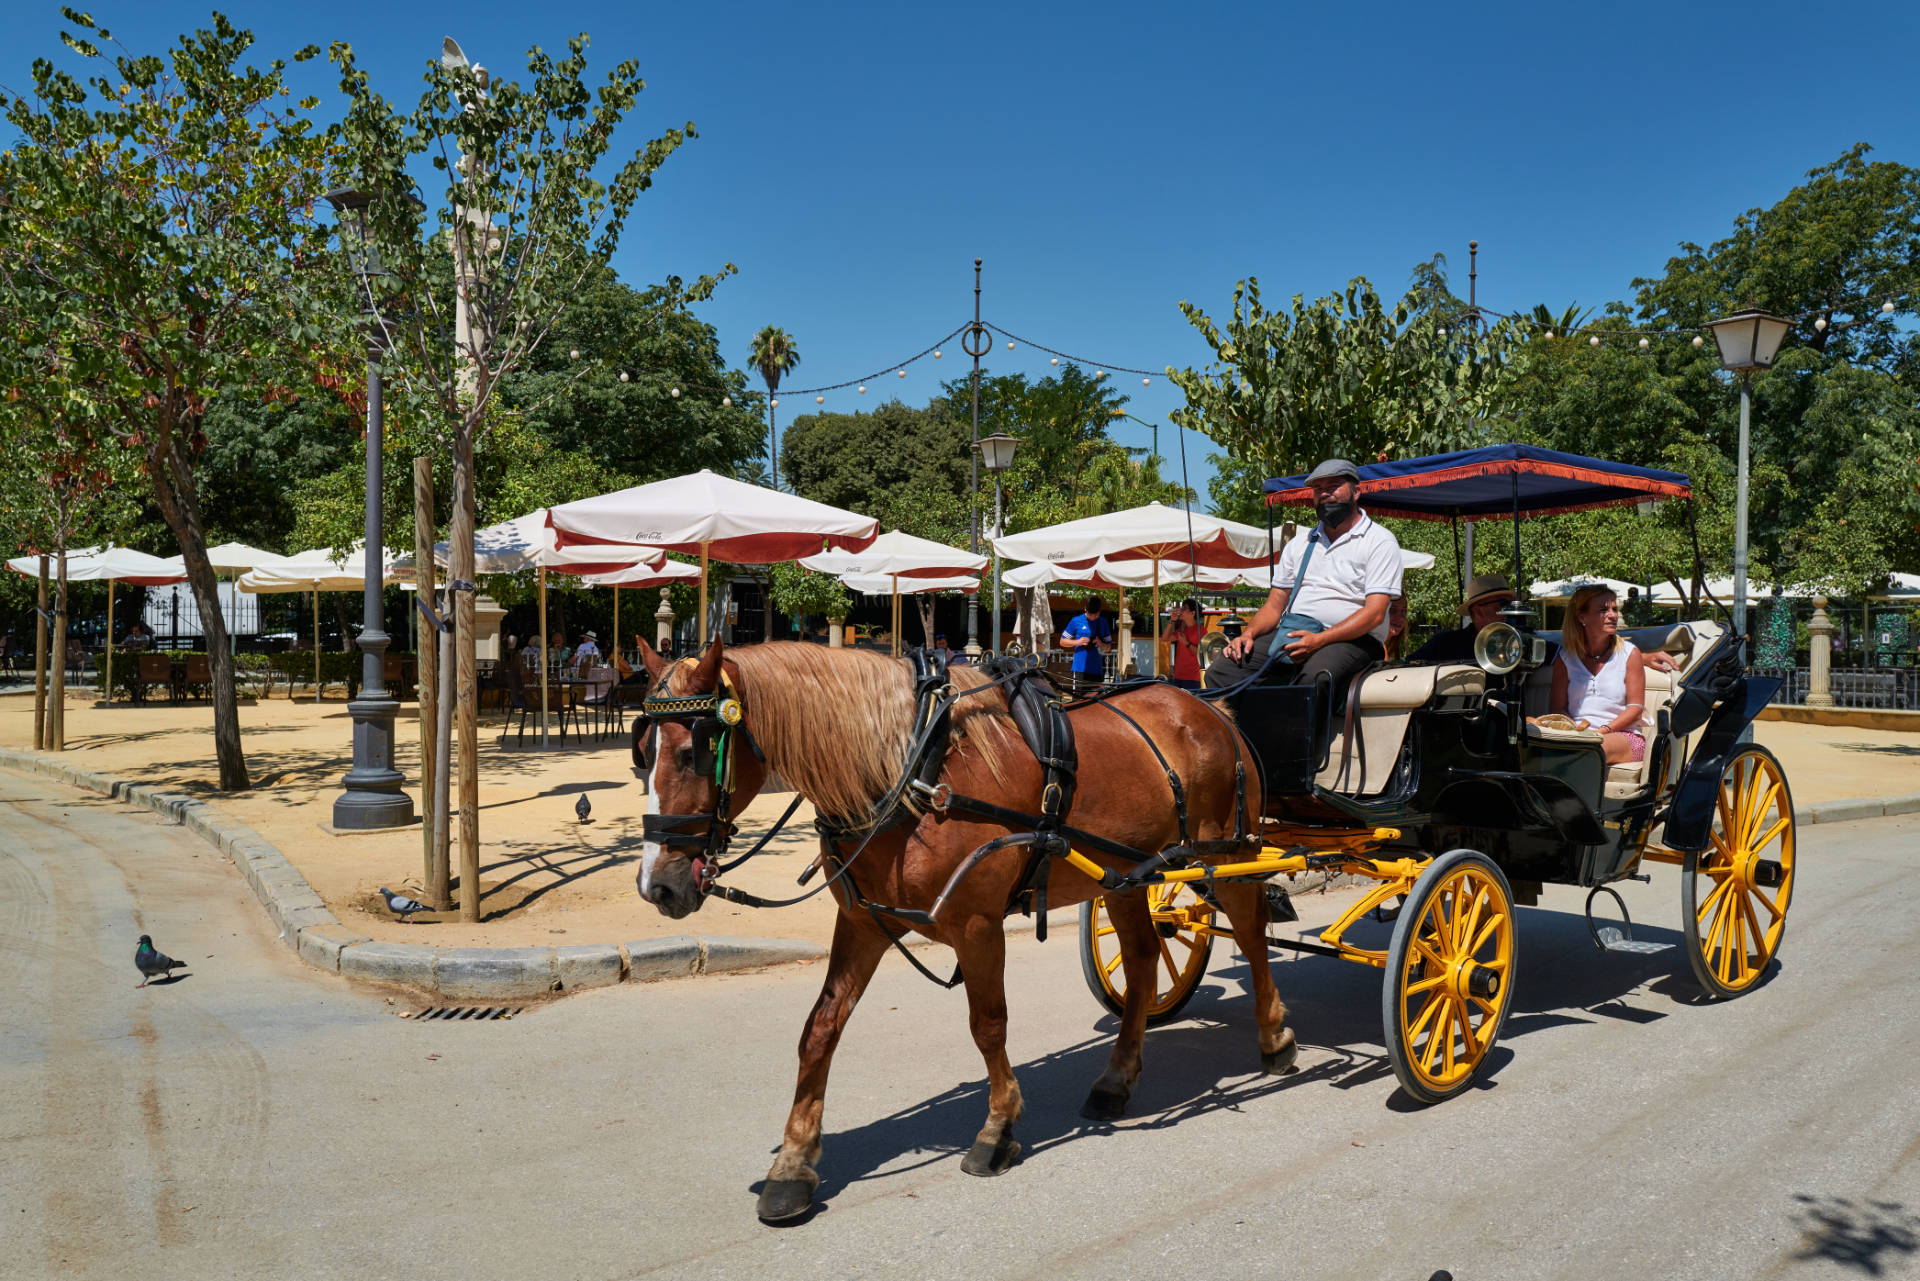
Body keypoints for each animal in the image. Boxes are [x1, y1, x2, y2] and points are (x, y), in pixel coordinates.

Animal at [637, 637, 1297, 1221]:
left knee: (1252, 934)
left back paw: (1274, 1038)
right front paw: (794, 1164)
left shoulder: (977, 925)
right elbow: (819, 1031)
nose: (657, 886)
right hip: (1126, 878)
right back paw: (1117, 1078)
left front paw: (997, 1130)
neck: (914, 771)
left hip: (1227, 856)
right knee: (1141, 959)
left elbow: (988, 1025)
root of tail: (1209, 708)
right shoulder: (862, 924)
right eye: (643, 751)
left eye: (694, 752)